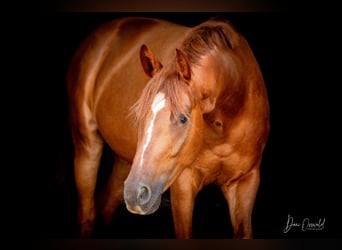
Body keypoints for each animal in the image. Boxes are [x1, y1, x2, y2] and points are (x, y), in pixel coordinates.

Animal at [67, 16, 270, 239]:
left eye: (183, 118)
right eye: (138, 115)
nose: (136, 193)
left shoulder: (246, 182)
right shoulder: (183, 185)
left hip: (125, 164)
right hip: (88, 149)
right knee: (87, 214)